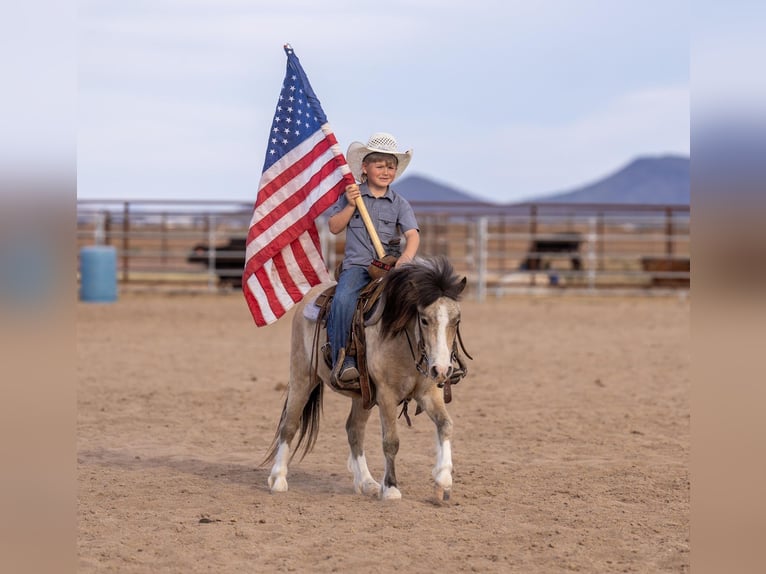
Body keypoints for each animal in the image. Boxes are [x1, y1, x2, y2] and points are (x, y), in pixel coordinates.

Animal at [263, 256, 468, 501]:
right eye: (425, 320)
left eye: (457, 320)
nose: (442, 369)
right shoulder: (387, 395)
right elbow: (391, 441)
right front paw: (391, 488)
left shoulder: (429, 393)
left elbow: (446, 425)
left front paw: (443, 480)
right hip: (302, 376)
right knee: (290, 425)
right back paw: (278, 479)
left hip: (363, 396)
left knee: (354, 430)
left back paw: (367, 482)